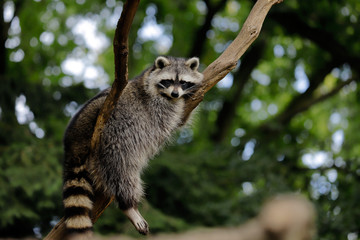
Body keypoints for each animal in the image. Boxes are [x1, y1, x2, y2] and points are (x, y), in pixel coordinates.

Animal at [62, 55, 202, 238]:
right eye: (168, 81)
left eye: (184, 82)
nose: (175, 93)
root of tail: (72, 141)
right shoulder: (153, 104)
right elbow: (170, 114)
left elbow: (181, 119)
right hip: (110, 137)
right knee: (122, 174)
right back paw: (128, 205)